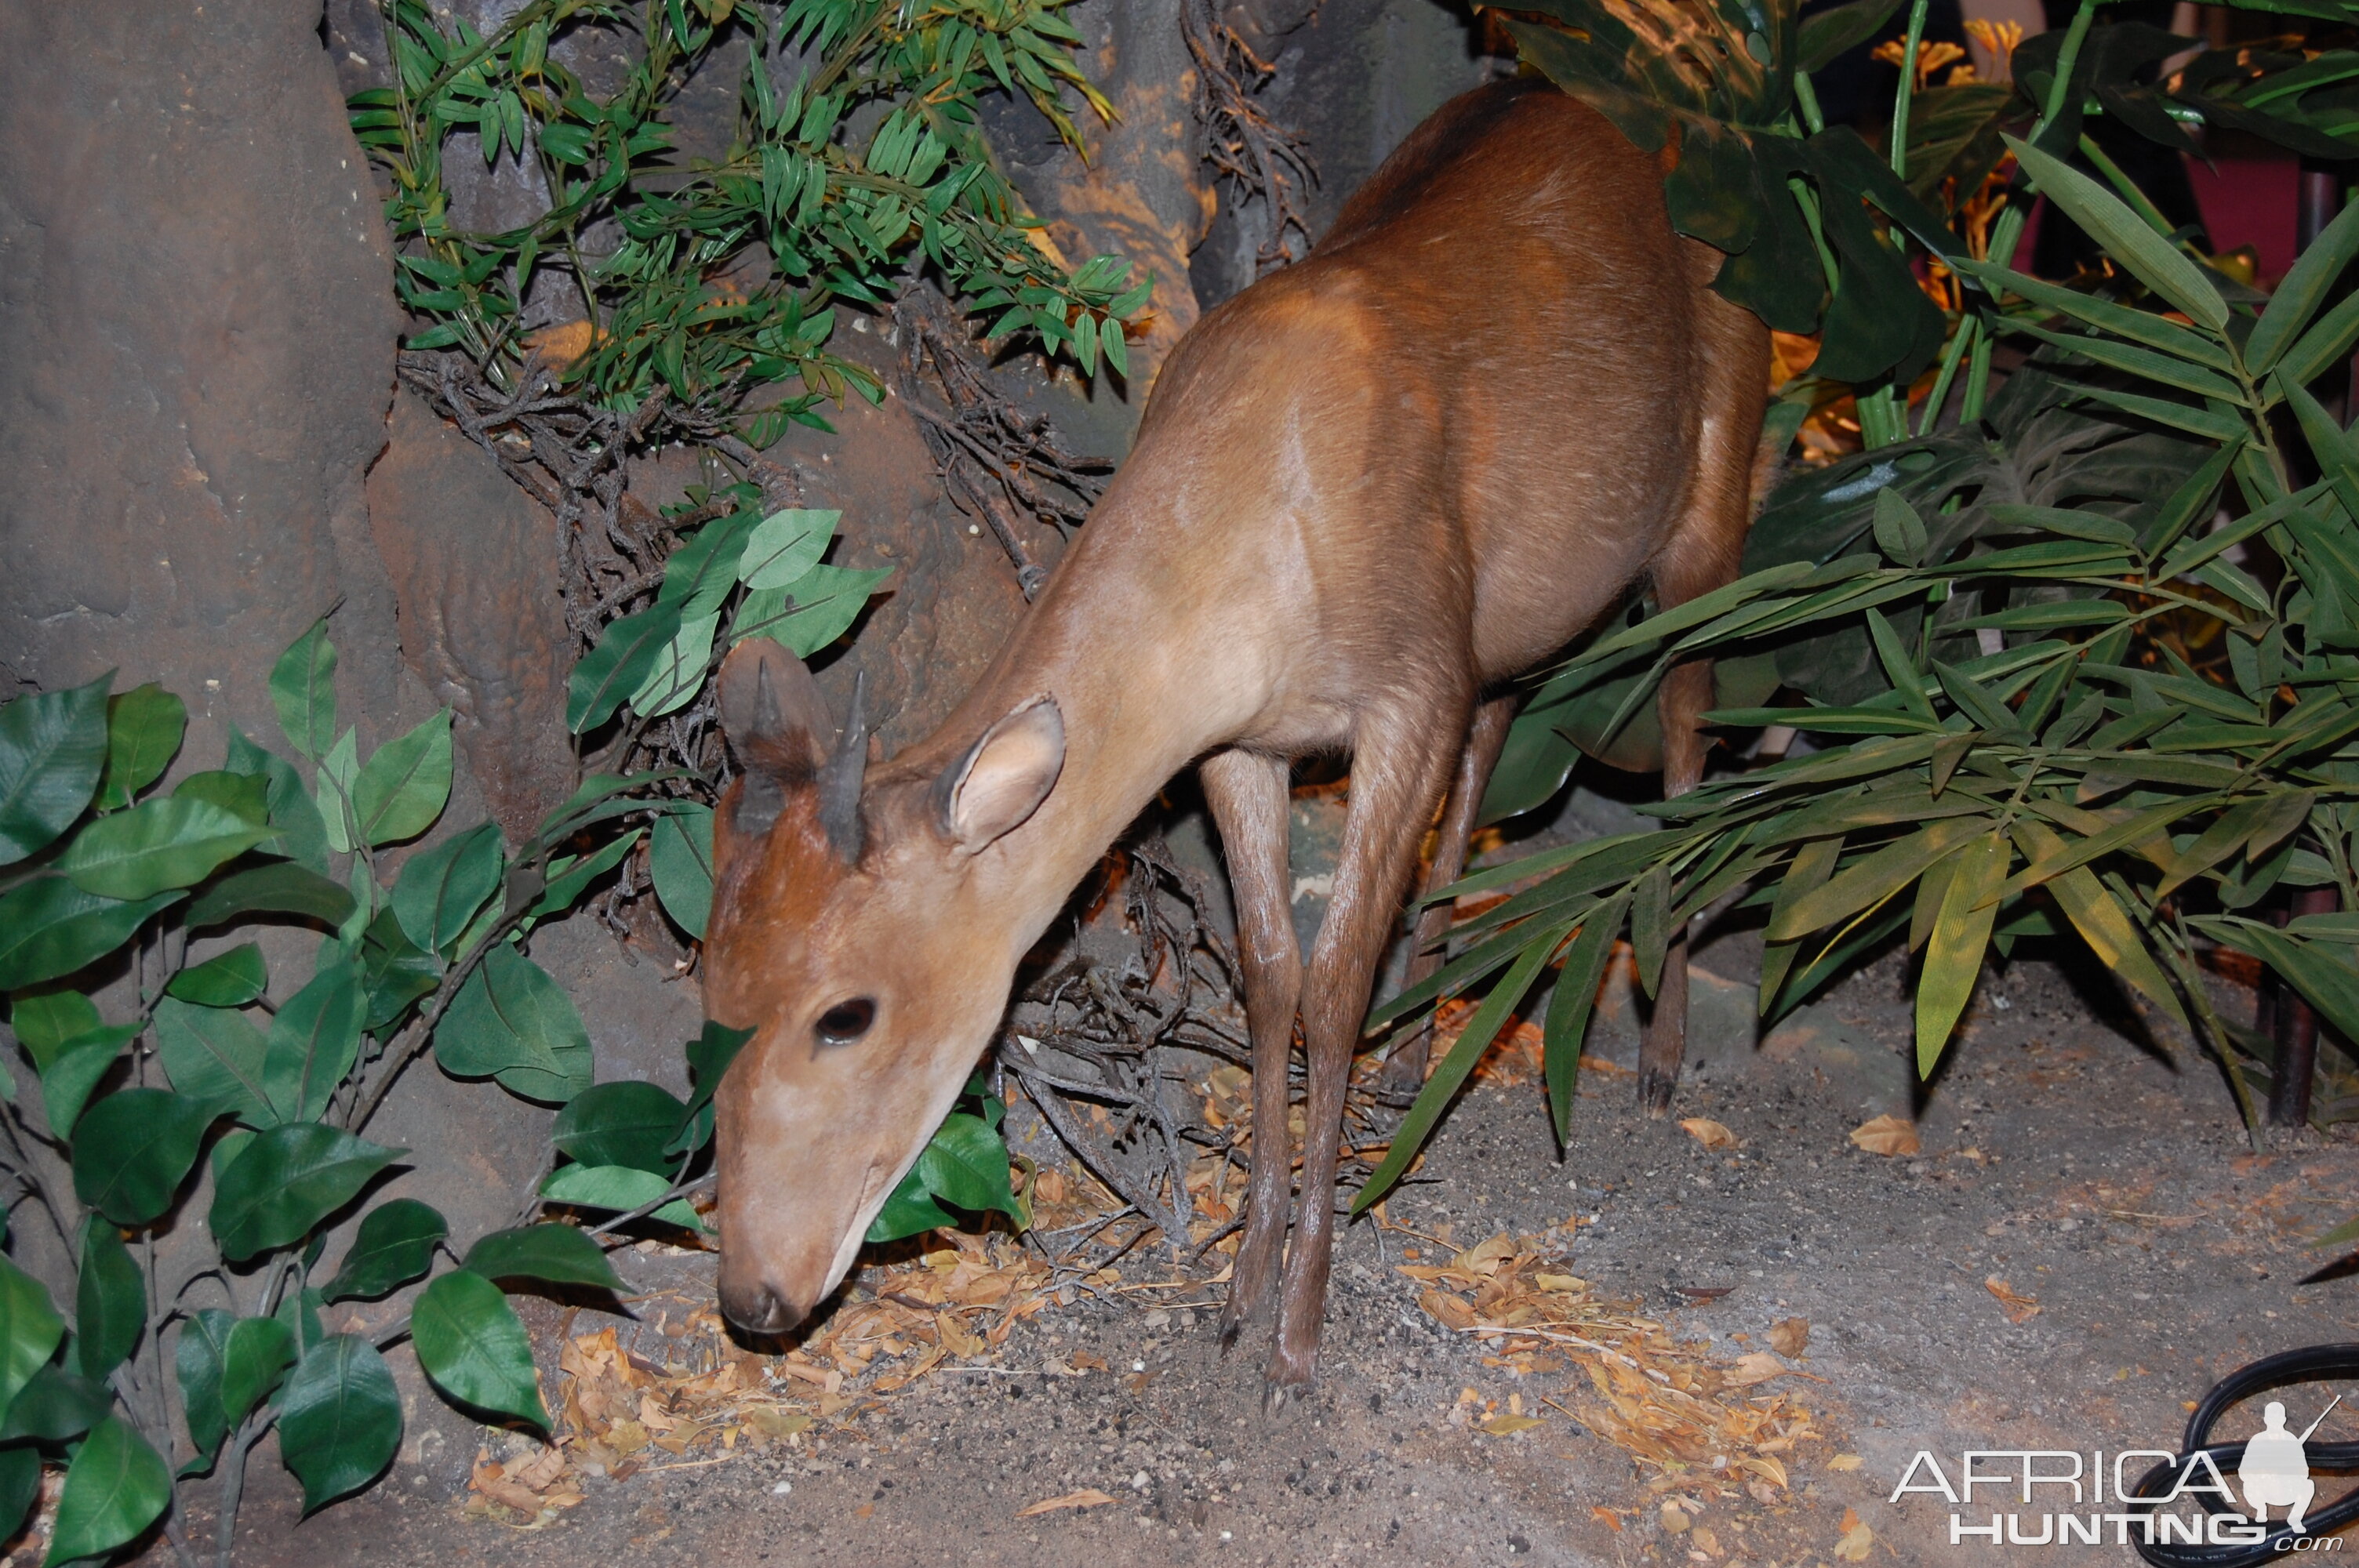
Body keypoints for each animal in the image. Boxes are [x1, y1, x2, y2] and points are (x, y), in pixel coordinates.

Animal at [698, 76, 1774, 1396]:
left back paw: (1662, 1055)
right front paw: (1238, 1290)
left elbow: (1334, 979)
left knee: (1688, 726)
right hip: (1521, 619)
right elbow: (1269, 976)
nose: (754, 1294)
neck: (1259, 531)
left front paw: (1303, 1323)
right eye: (708, 986)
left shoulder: (1407, 682)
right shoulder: (1246, 743)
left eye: (845, 1013)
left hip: (1708, 508)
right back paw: (1420, 1055)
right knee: (1502, 739)